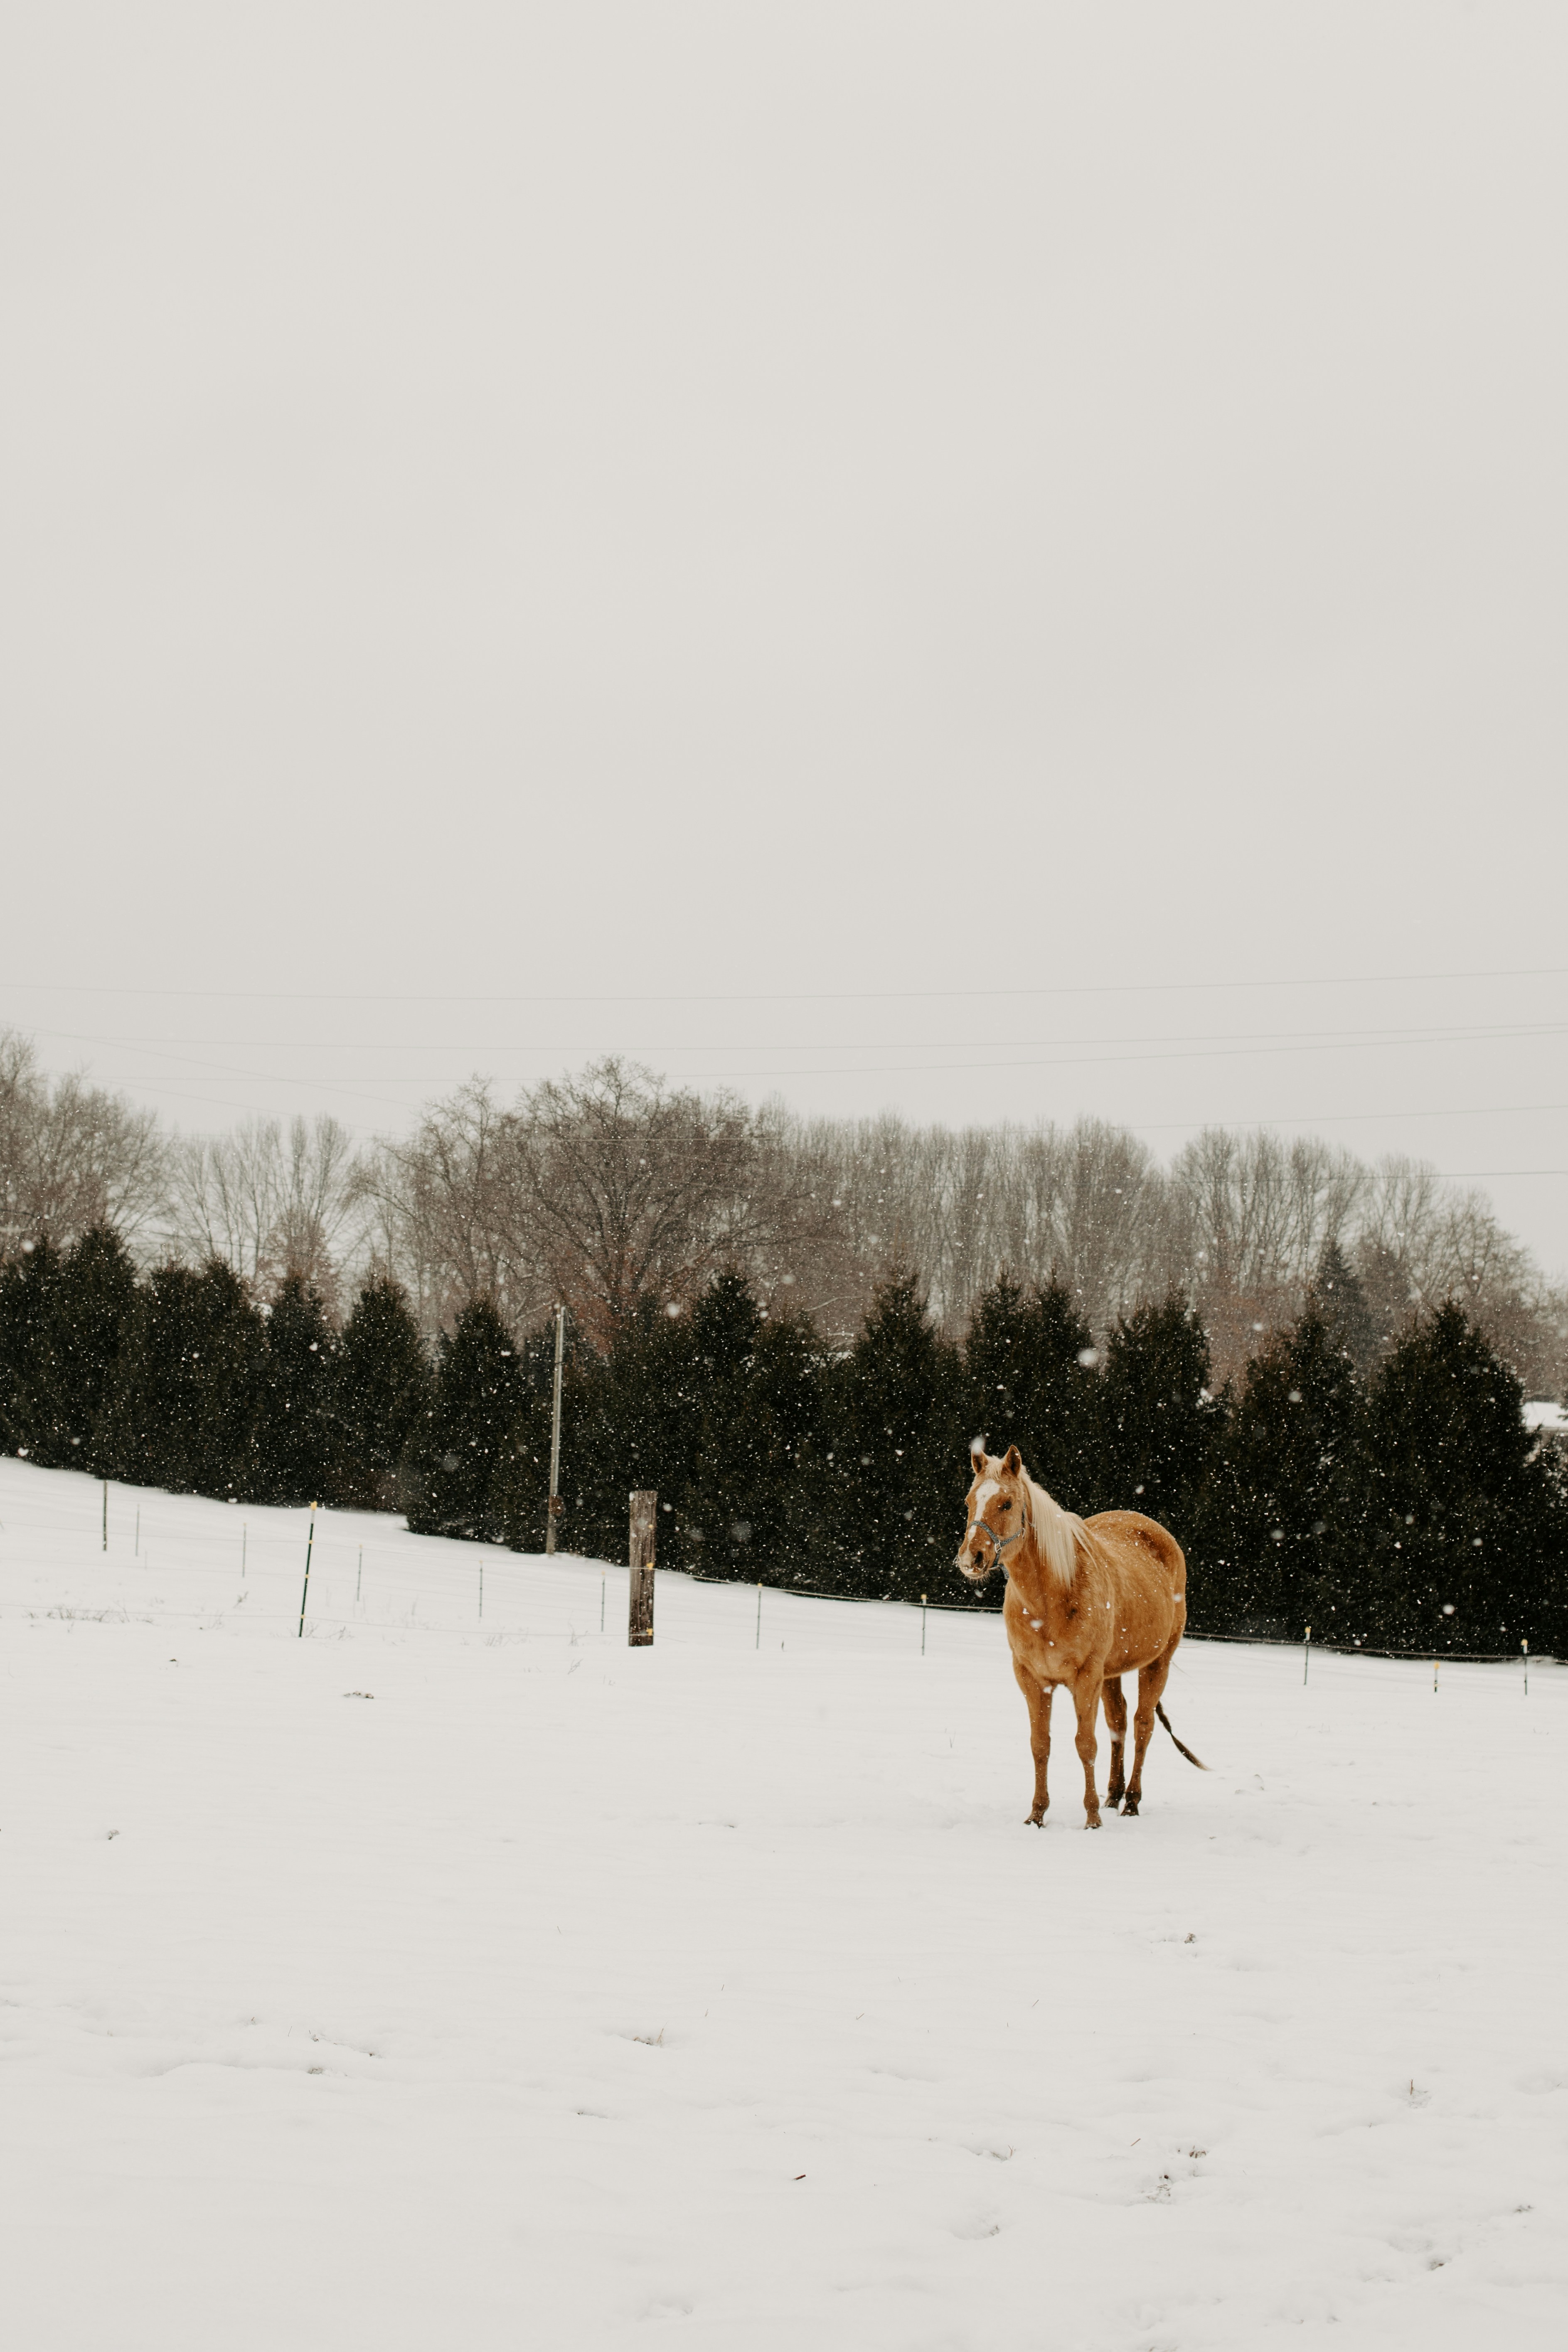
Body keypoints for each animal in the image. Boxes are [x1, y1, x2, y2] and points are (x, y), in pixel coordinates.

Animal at [958, 1441, 1207, 1828]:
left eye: (1007, 1503)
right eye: (970, 1501)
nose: (972, 1558)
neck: (1051, 1598)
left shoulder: (1086, 1677)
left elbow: (1085, 1744)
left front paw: (1091, 1819)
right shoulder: (1032, 1679)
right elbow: (1040, 1745)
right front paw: (1036, 1815)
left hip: (1157, 1664)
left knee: (1142, 1725)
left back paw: (1131, 1802)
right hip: (1112, 1673)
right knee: (1118, 1721)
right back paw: (1113, 1795)